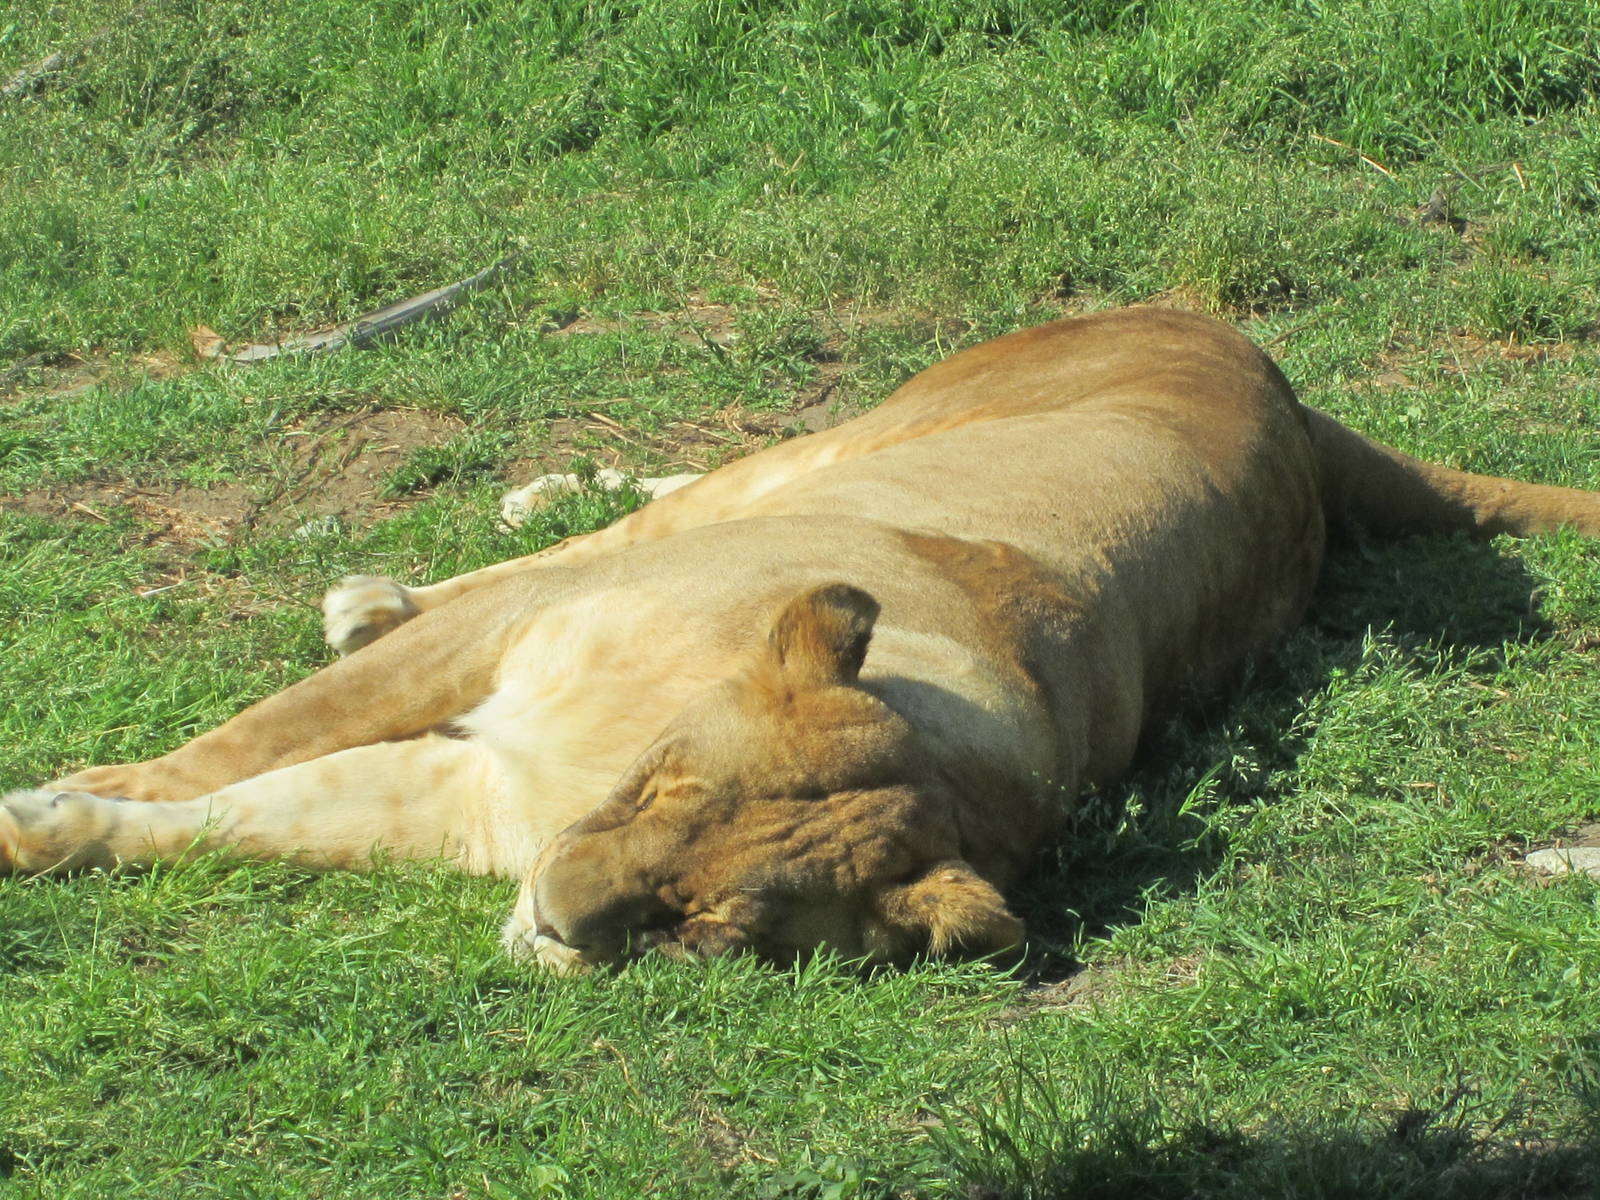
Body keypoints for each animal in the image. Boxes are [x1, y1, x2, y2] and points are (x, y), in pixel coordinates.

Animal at [3, 308, 1597, 971]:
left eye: (709, 927)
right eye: (665, 789)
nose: (562, 924)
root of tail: (1284, 390)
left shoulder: (471, 796)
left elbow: (248, 818)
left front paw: (59, 829)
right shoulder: (496, 661)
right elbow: (238, 750)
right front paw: (55, 803)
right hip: (845, 440)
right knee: (638, 508)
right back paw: (407, 576)